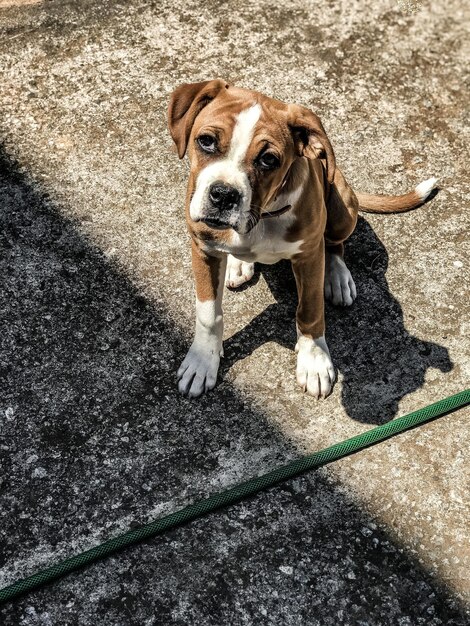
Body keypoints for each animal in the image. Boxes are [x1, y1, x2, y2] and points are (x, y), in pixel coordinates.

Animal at [166, 80, 436, 398]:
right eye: (206, 141)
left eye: (269, 159)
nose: (223, 195)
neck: (264, 216)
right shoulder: (203, 248)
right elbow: (208, 313)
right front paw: (201, 361)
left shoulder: (308, 257)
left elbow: (310, 309)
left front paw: (314, 361)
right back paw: (238, 264)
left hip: (343, 209)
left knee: (333, 246)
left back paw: (337, 278)